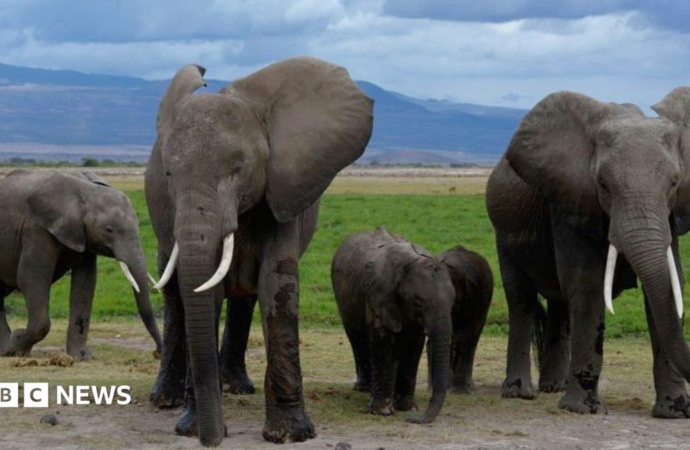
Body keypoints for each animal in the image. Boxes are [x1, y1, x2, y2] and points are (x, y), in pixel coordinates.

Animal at [0, 170, 162, 359]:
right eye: (109, 230)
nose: (157, 352)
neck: (86, 192)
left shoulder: (83, 236)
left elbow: (85, 283)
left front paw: (81, 356)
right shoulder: (36, 230)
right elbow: (31, 278)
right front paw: (18, 345)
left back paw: (4, 350)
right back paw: (8, 349)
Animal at [145, 57, 373, 446]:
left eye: (237, 169)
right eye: (169, 174)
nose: (213, 440)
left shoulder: (282, 191)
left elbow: (276, 287)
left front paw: (291, 435)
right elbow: (205, 292)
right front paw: (191, 428)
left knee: (244, 297)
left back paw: (235, 387)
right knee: (176, 296)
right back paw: (165, 400)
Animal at [331, 227, 492, 423]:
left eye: (453, 302)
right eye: (418, 303)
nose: (413, 419)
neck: (409, 264)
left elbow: (413, 346)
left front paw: (407, 408)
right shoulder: (378, 296)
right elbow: (382, 342)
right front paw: (383, 411)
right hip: (343, 298)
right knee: (357, 339)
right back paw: (363, 388)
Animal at [486, 87, 690, 417]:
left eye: (674, 184)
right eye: (603, 184)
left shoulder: (670, 215)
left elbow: (669, 289)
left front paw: (676, 412)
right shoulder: (571, 201)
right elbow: (588, 286)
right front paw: (583, 409)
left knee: (559, 304)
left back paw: (553, 387)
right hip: (503, 233)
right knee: (522, 301)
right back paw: (519, 393)